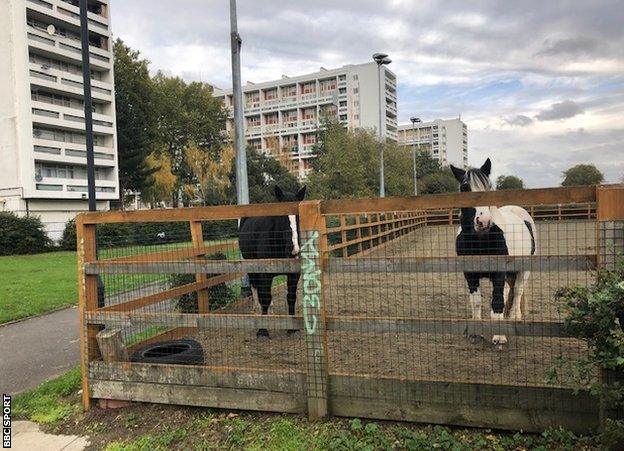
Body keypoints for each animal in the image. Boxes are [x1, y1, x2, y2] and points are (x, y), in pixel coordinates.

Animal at [238, 185, 306, 340]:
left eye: (299, 216)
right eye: (281, 216)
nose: (294, 249)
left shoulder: (293, 274)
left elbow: (291, 297)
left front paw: (292, 329)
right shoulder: (265, 273)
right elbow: (265, 297)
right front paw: (263, 331)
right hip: (251, 267)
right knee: (256, 289)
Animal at [450, 159, 532, 340]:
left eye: (487, 187)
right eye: (465, 187)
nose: (484, 221)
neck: (481, 241)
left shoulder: (498, 273)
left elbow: (497, 301)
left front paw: (499, 337)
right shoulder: (470, 273)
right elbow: (476, 302)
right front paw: (476, 332)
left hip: (524, 270)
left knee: (518, 291)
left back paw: (515, 317)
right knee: (510, 290)